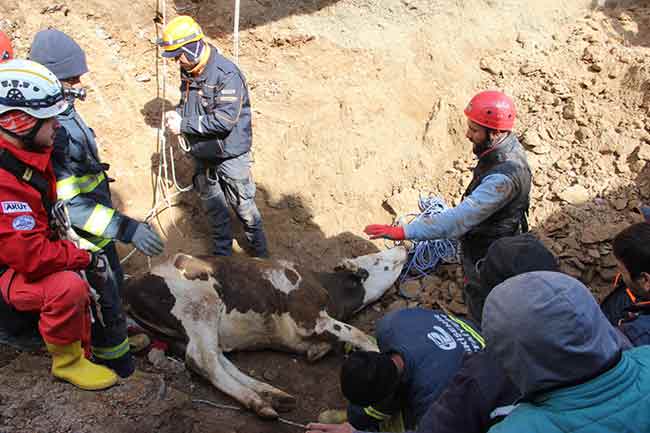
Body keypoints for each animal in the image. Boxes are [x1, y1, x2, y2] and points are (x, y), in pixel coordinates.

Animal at [121, 246, 404, 418]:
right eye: (378, 259)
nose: (404, 246)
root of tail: (131, 282)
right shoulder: (309, 318)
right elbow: (360, 335)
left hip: (187, 329)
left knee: (216, 359)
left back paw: (272, 394)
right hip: (200, 305)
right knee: (202, 360)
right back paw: (258, 402)